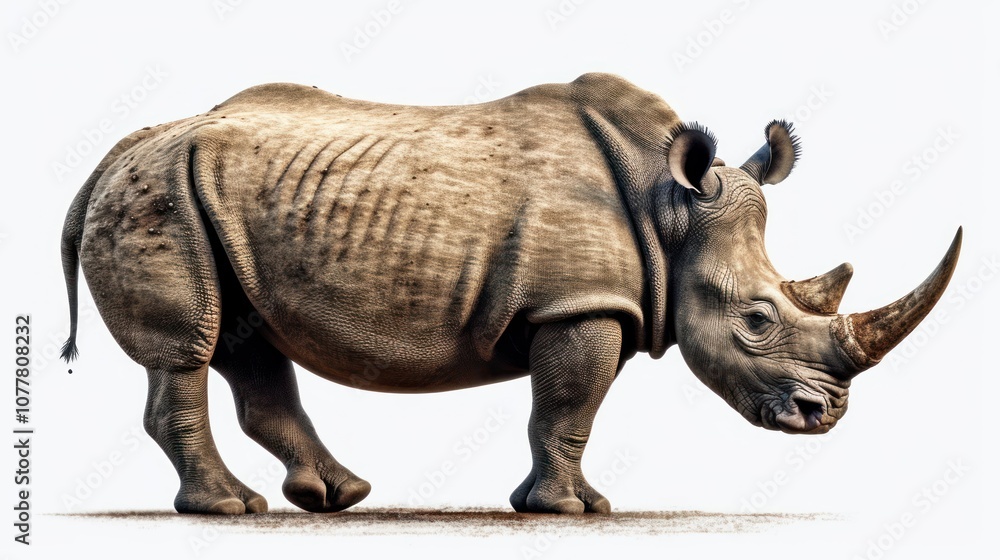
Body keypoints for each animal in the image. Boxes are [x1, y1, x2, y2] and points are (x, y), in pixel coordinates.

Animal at [60, 73, 961, 515]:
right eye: (758, 320)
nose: (824, 417)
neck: (672, 212)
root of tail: (113, 155)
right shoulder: (580, 302)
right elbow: (568, 407)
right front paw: (573, 512)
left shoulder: (592, 302)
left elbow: (563, 410)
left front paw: (554, 505)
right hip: (163, 197)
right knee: (188, 348)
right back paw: (229, 510)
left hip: (209, 203)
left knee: (247, 344)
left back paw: (336, 498)